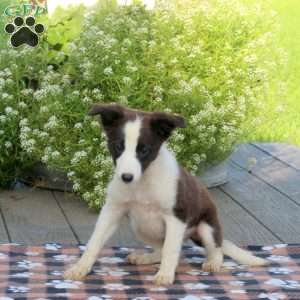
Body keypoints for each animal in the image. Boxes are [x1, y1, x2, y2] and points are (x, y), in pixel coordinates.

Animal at [63, 104, 268, 284]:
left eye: (144, 150)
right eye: (119, 147)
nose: (126, 177)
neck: (143, 183)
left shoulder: (176, 217)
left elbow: (170, 250)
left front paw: (165, 276)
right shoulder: (112, 210)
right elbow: (94, 242)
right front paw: (80, 268)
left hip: (206, 228)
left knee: (214, 249)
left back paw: (212, 263)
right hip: (140, 226)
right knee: (162, 250)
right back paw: (146, 258)